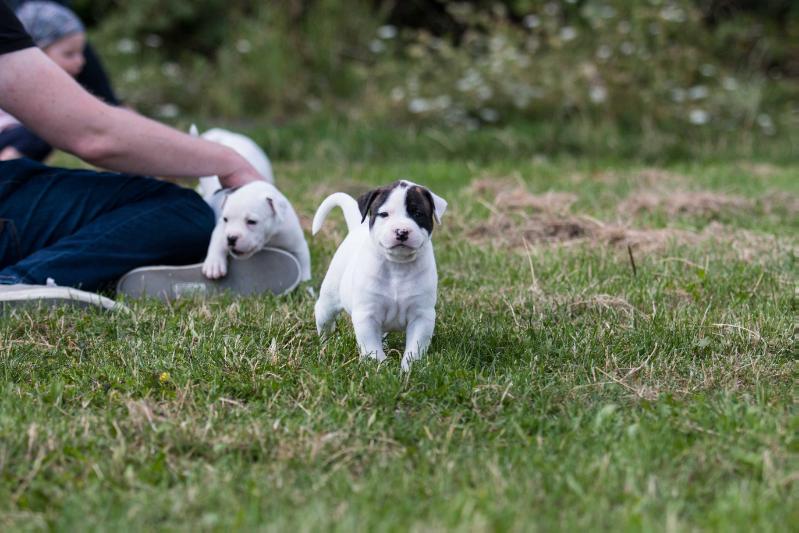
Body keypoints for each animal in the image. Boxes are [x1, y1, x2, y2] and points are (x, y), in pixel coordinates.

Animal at [314, 179, 450, 370]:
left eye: (417, 213)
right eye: (384, 214)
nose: (401, 232)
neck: (397, 266)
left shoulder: (422, 315)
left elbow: (415, 346)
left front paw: (409, 368)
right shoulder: (367, 314)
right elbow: (371, 347)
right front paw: (379, 367)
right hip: (330, 298)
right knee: (323, 317)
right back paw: (325, 345)